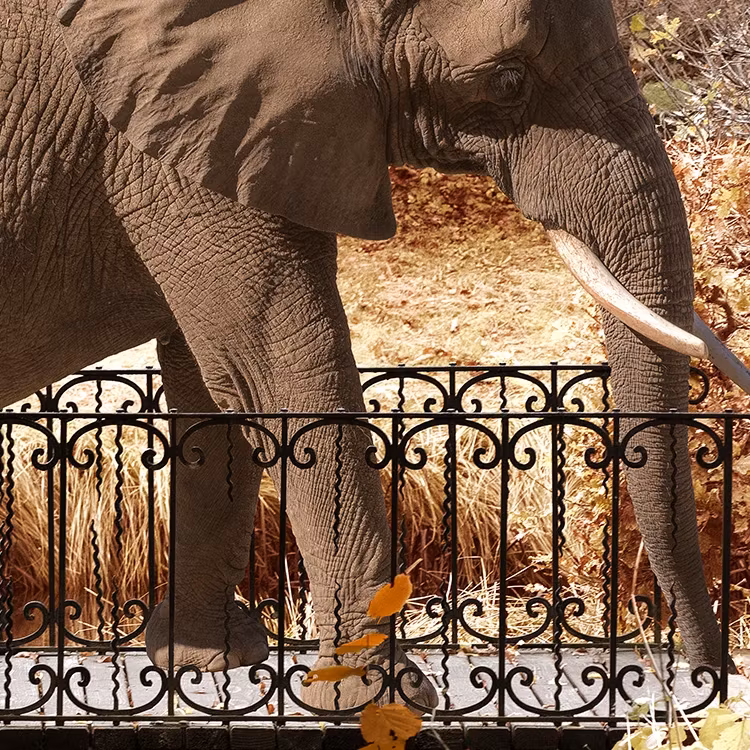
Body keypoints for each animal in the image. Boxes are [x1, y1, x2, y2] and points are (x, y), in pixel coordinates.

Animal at [2, 0, 750, 712]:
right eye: (509, 80)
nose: (706, 678)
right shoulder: (167, 141)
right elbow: (275, 364)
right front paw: (379, 697)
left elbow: (215, 385)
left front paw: (207, 661)